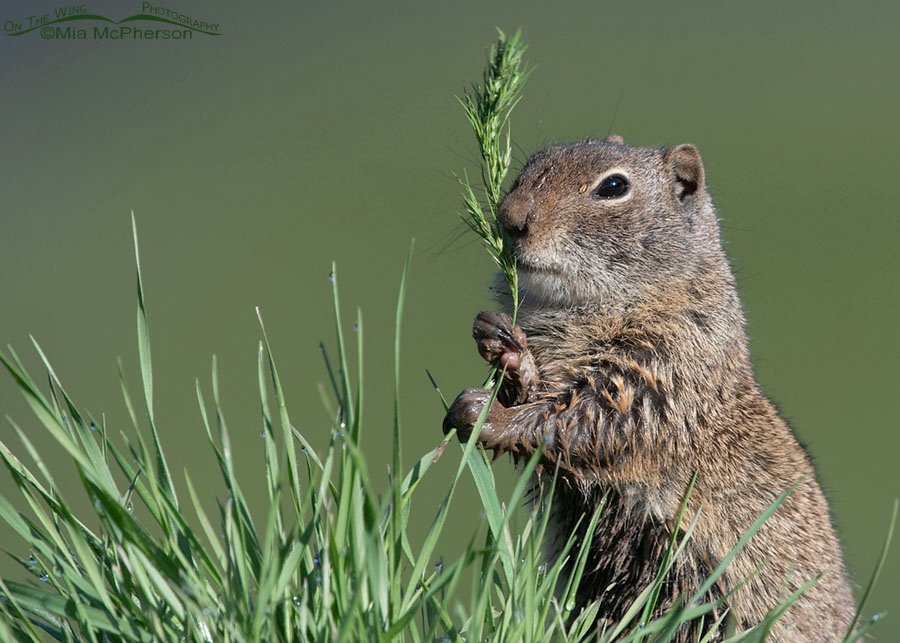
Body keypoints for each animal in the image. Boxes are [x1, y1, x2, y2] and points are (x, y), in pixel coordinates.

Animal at [442, 135, 855, 641]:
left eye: (613, 187)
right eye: (530, 166)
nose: (510, 218)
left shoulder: (661, 368)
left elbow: (584, 423)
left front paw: (485, 414)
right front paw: (503, 342)